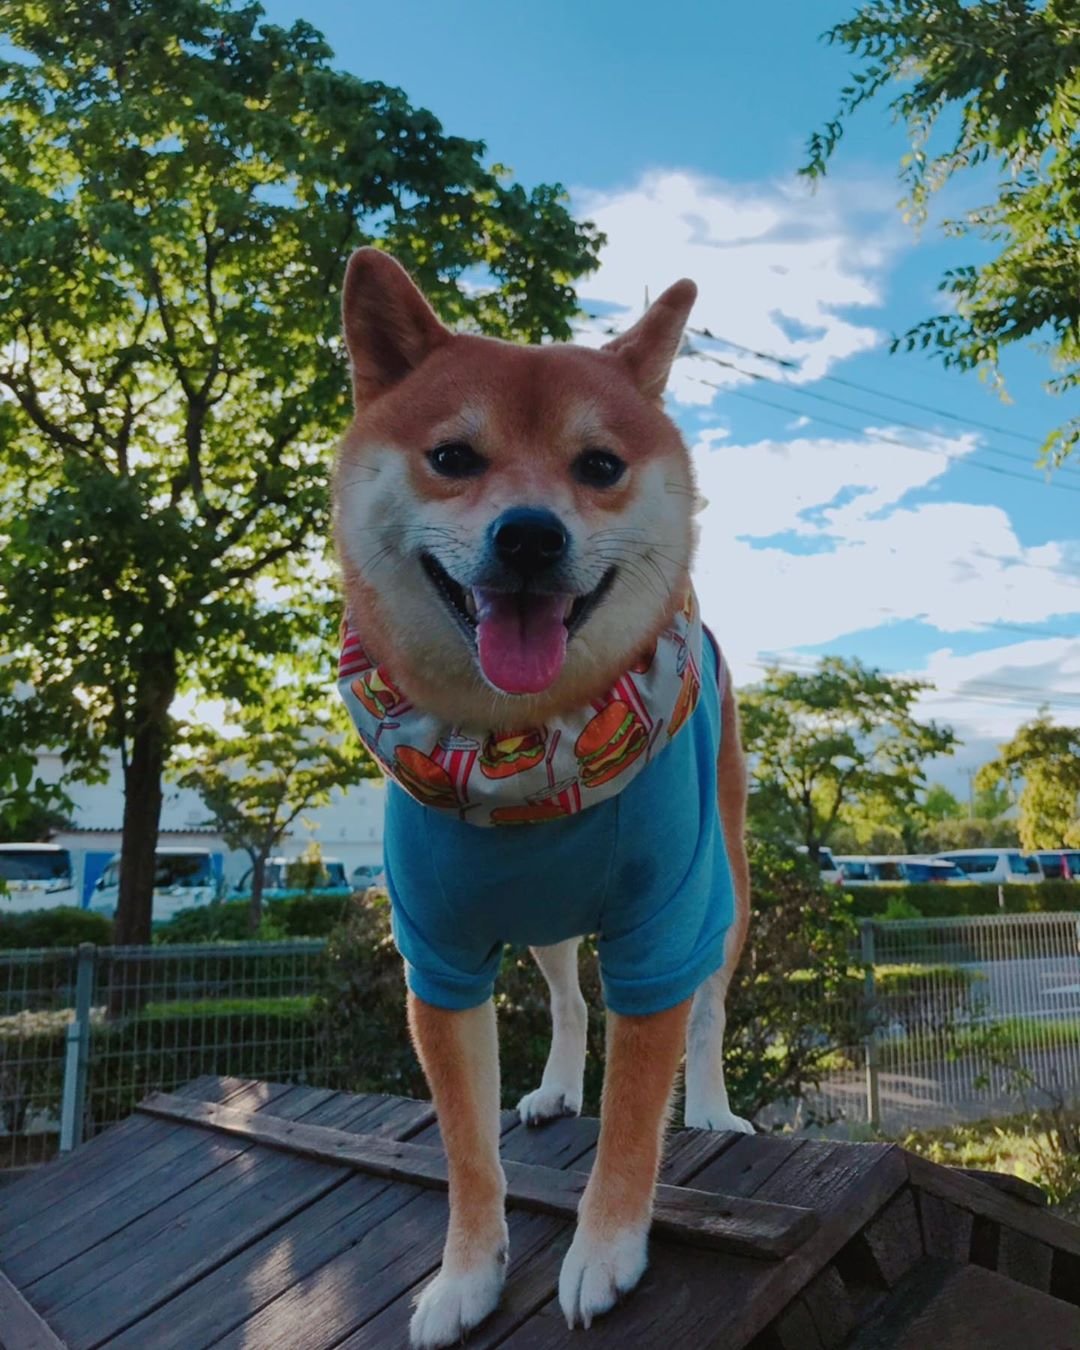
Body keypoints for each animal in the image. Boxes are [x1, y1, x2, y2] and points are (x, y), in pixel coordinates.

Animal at [333, 248, 745, 1344]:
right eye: (452, 457)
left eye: (598, 467)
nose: (528, 536)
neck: (519, 744)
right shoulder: (437, 957)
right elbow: (465, 1147)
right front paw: (466, 1273)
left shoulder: (661, 930)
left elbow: (637, 1110)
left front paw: (605, 1250)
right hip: (544, 920)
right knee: (567, 1000)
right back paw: (558, 1090)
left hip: (725, 893)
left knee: (709, 1014)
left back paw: (716, 1109)